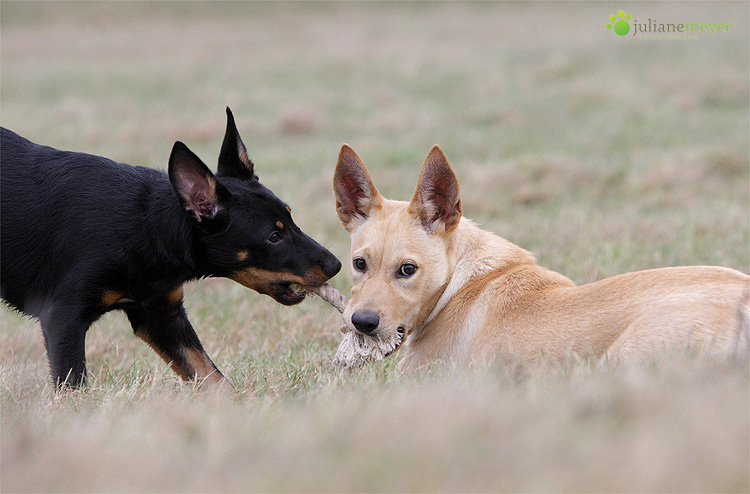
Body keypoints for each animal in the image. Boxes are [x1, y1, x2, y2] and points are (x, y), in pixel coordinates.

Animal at [0, 108, 340, 390]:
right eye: (273, 236)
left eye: (291, 218)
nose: (336, 265)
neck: (148, 228)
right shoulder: (64, 318)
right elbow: (74, 388)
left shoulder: (162, 315)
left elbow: (212, 377)